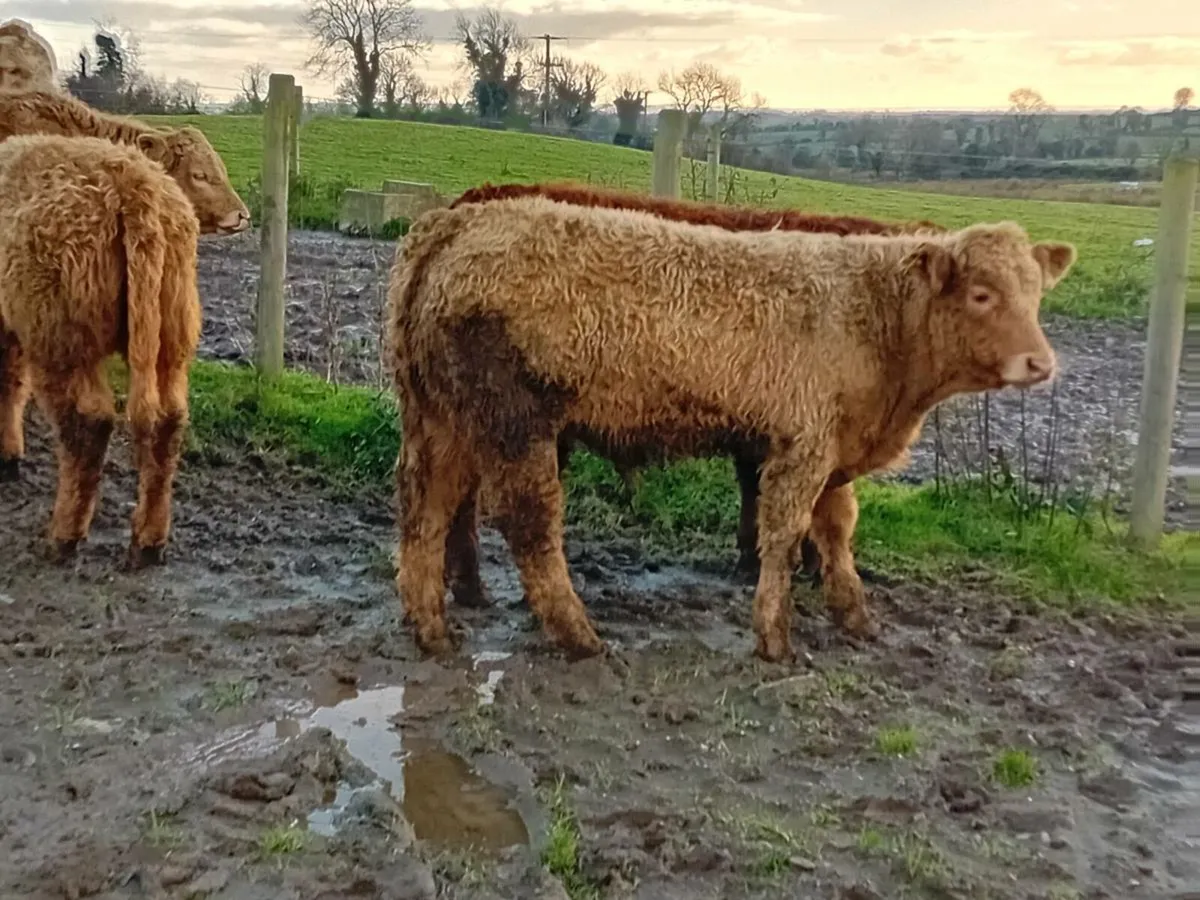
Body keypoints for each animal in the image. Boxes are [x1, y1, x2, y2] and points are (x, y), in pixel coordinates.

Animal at [0, 135, 202, 566]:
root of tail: (133, 183)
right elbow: (10, 382)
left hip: (62, 337)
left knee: (88, 423)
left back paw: (65, 536)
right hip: (171, 332)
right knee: (169, 421)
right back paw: (148, 541)